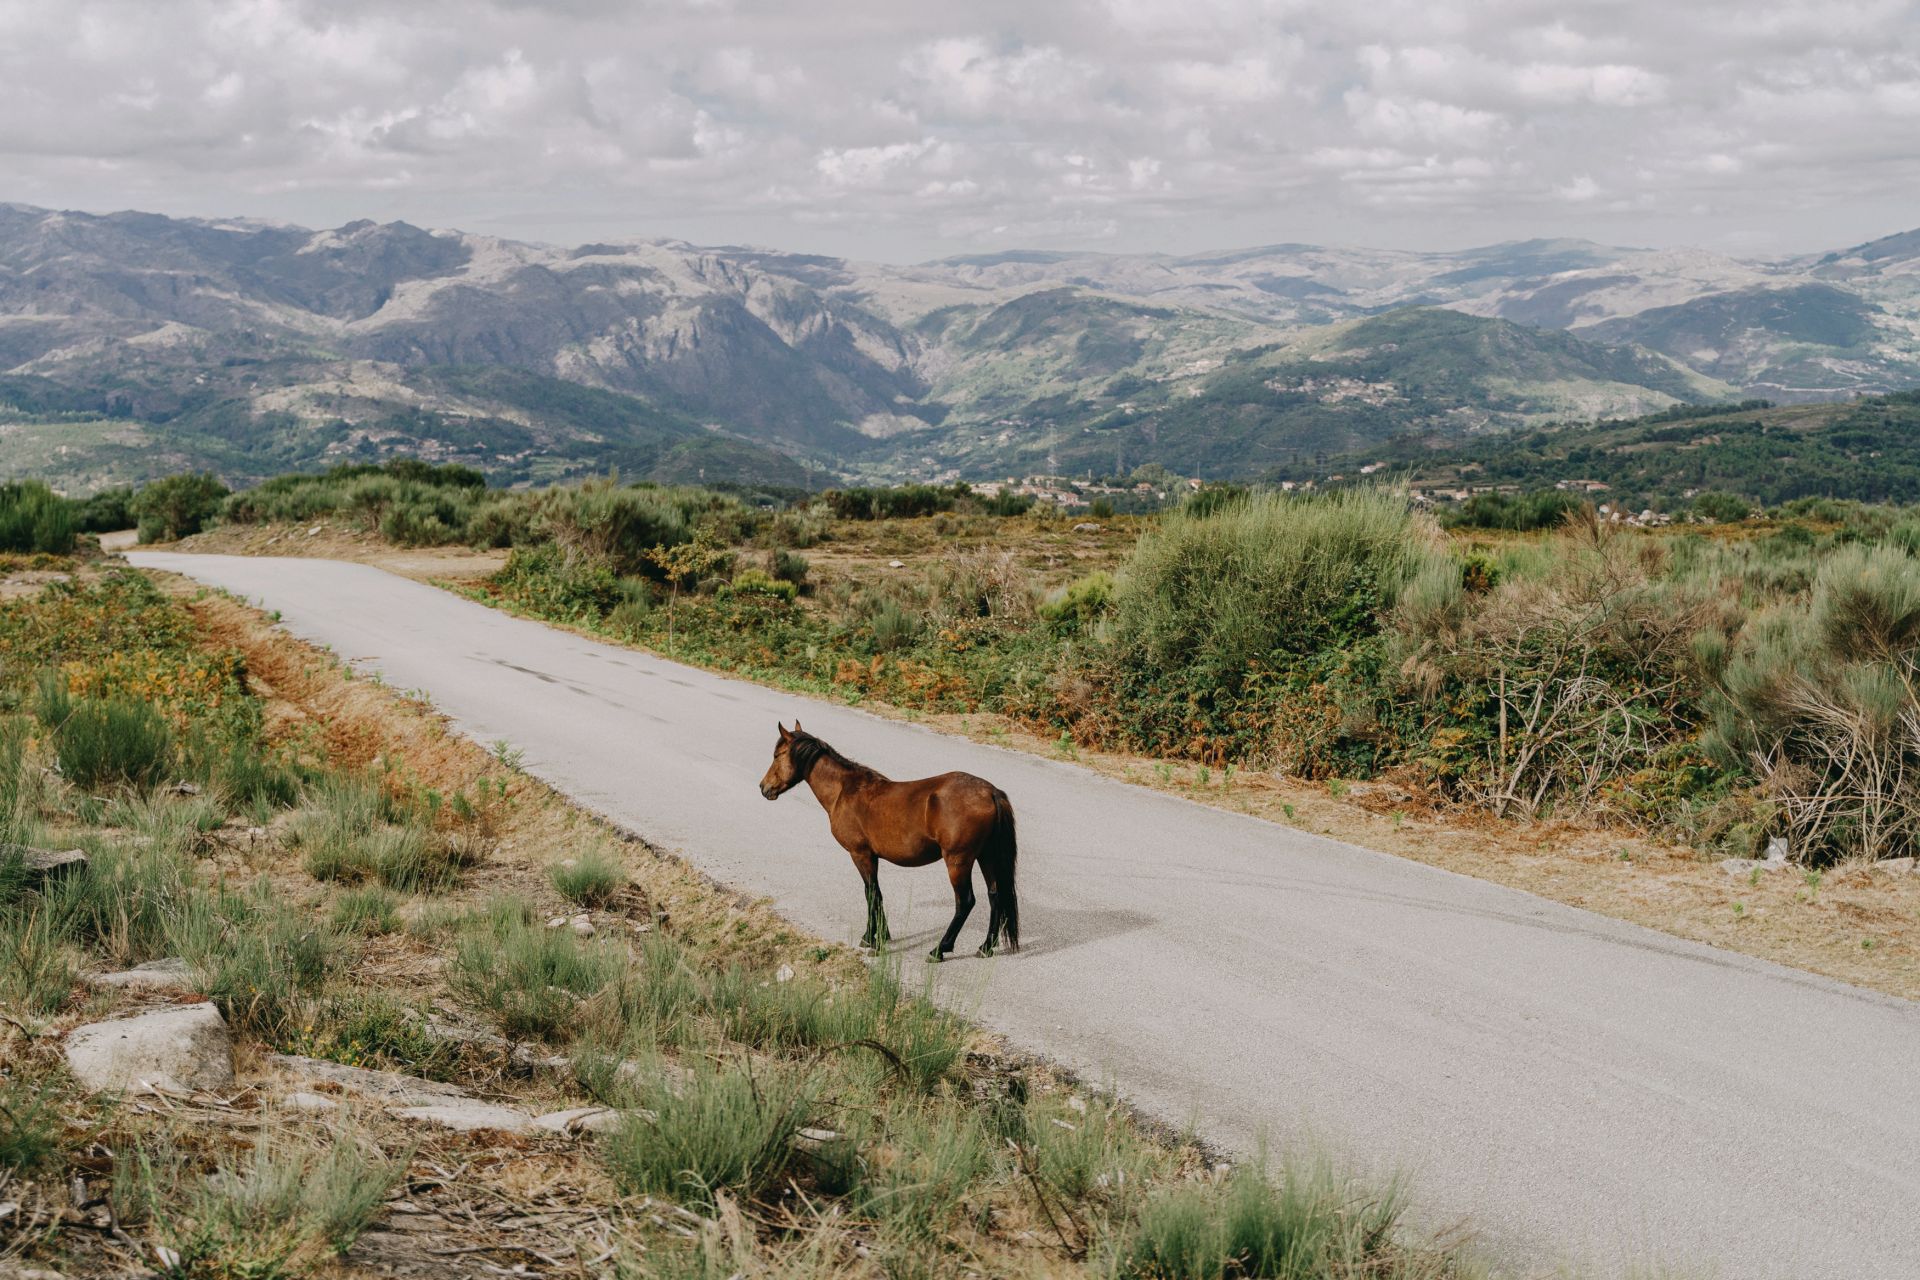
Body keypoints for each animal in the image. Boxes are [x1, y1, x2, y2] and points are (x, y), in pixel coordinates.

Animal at [756, 721, 1021, 959]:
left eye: (777, 755)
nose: (763, 787)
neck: (844, 791)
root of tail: (990, 792)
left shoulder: (860, 854)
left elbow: (871, 894)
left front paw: (872, 940)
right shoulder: (871, 857)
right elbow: (876, 894)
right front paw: (879, 936)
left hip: (958, 861)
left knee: (965, 902)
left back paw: (939, 950)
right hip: (986, 856)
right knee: (995, 895)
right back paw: (986, 947)